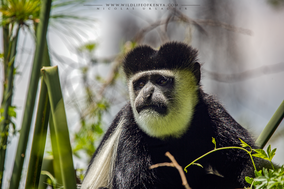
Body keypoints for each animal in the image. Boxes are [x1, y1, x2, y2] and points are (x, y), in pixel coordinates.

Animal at [81, 42, 268, 188]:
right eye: (140, 84)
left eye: (161, 81)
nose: (146, 94)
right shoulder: (130, 128)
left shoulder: (210, 110)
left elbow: (250, 160)